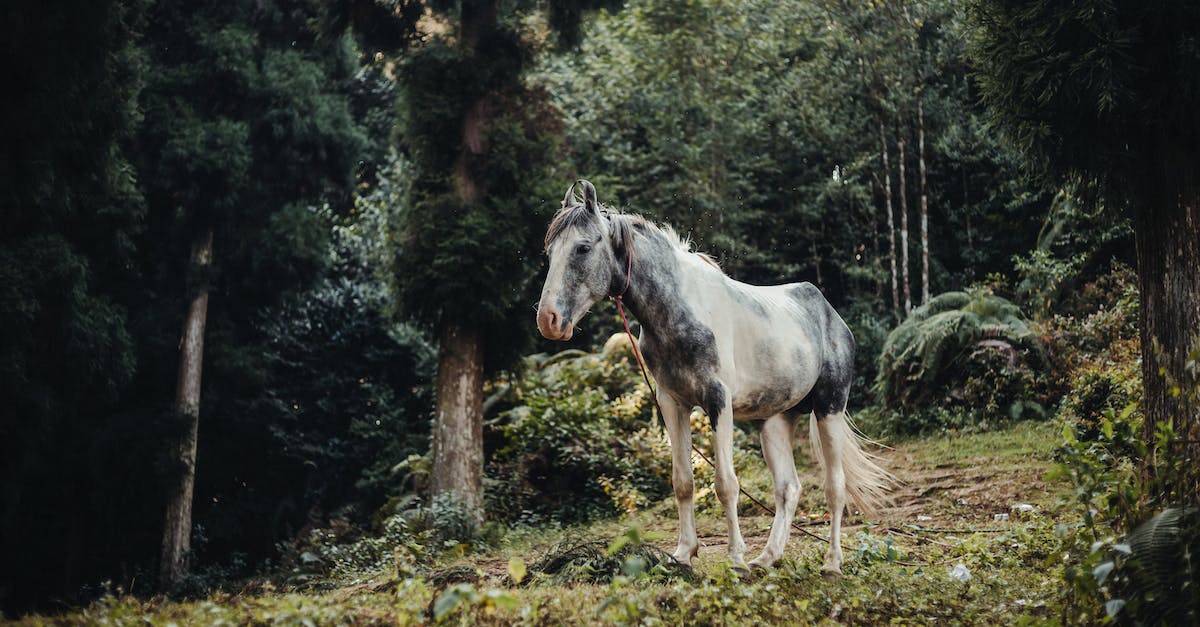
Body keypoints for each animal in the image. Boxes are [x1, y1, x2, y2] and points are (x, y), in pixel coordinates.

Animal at [535, 179, 893, 575]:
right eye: (549, 252)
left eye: (583, 247)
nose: (548, 320)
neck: (679, 309)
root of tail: (832, 316)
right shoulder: (672, 403)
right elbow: (683, 481)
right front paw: (682, 555)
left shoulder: (718, 401)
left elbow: (725, 483)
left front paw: (735, 559)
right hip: (775, 423)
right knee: (788, 488)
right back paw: (767, 558)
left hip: (829, 408)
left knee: (835, 485)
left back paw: (830, 563)